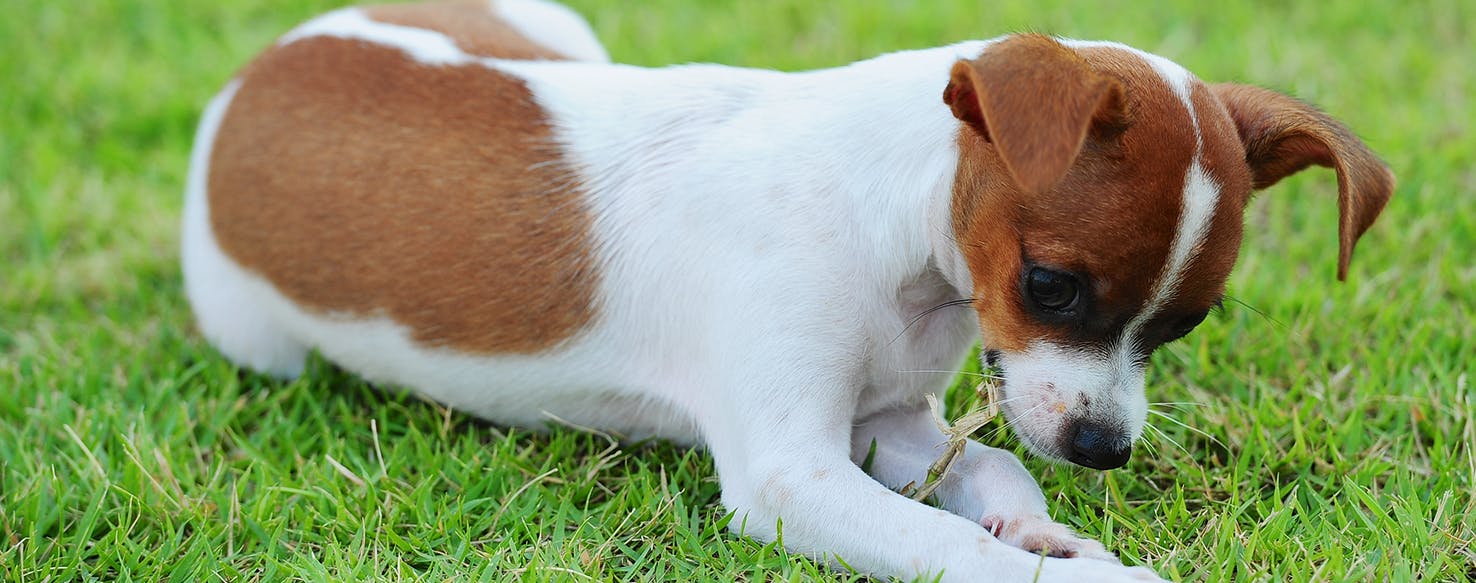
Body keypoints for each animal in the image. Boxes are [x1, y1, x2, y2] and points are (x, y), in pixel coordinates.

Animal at [178, 2, 1387, 581]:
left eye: (1185, 324)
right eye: (1051, 286)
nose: (1104, 449)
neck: (896, 237)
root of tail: (256, 73)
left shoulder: (893, 421)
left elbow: (989, 464)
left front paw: (1038, 529)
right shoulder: (791, 472)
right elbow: (949, 547)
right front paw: (1078, 576)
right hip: (255, 338)